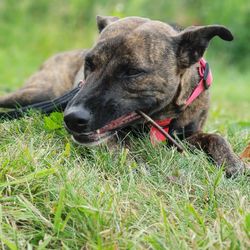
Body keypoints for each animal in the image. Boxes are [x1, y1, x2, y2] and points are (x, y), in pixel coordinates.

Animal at [0, 15, 248, 177]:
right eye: (89, 63)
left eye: (132, 72)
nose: (72, 118)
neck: (162, 118)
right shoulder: (110, 136)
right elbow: (122, 147)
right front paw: (138, 166)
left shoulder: (186, 136)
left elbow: (217, 138)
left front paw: (233, 163)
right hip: (37, 94)